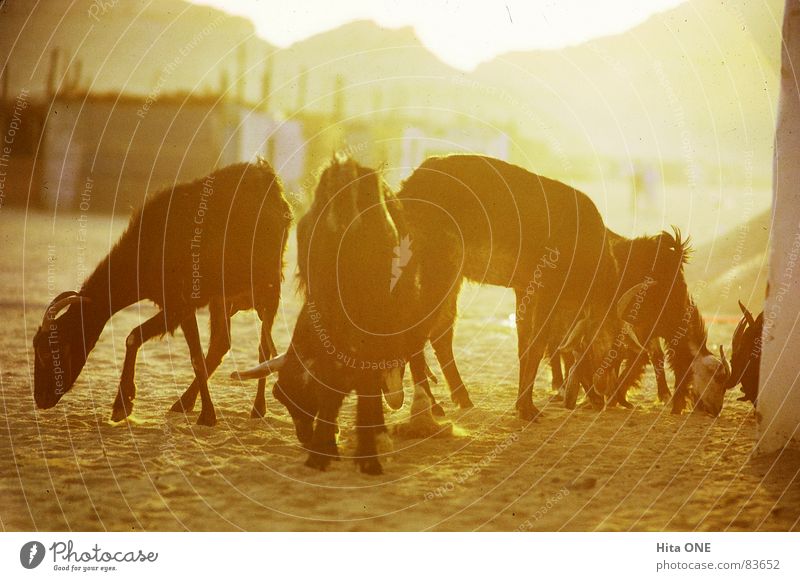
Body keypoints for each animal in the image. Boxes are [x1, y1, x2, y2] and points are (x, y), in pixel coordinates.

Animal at [33, 161, 294, 424]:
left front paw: (123, 405)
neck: (150, 249)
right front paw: (205, 413)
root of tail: (267, 177)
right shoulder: (180, 308)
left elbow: (136, 338)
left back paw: (258, 408)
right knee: (221, 343)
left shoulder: (179, 306)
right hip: (220, 299)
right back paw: (184, 402)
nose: (40, 399)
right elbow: (194, 356)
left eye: (48, 352)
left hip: (269, 289)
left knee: (263, 349)